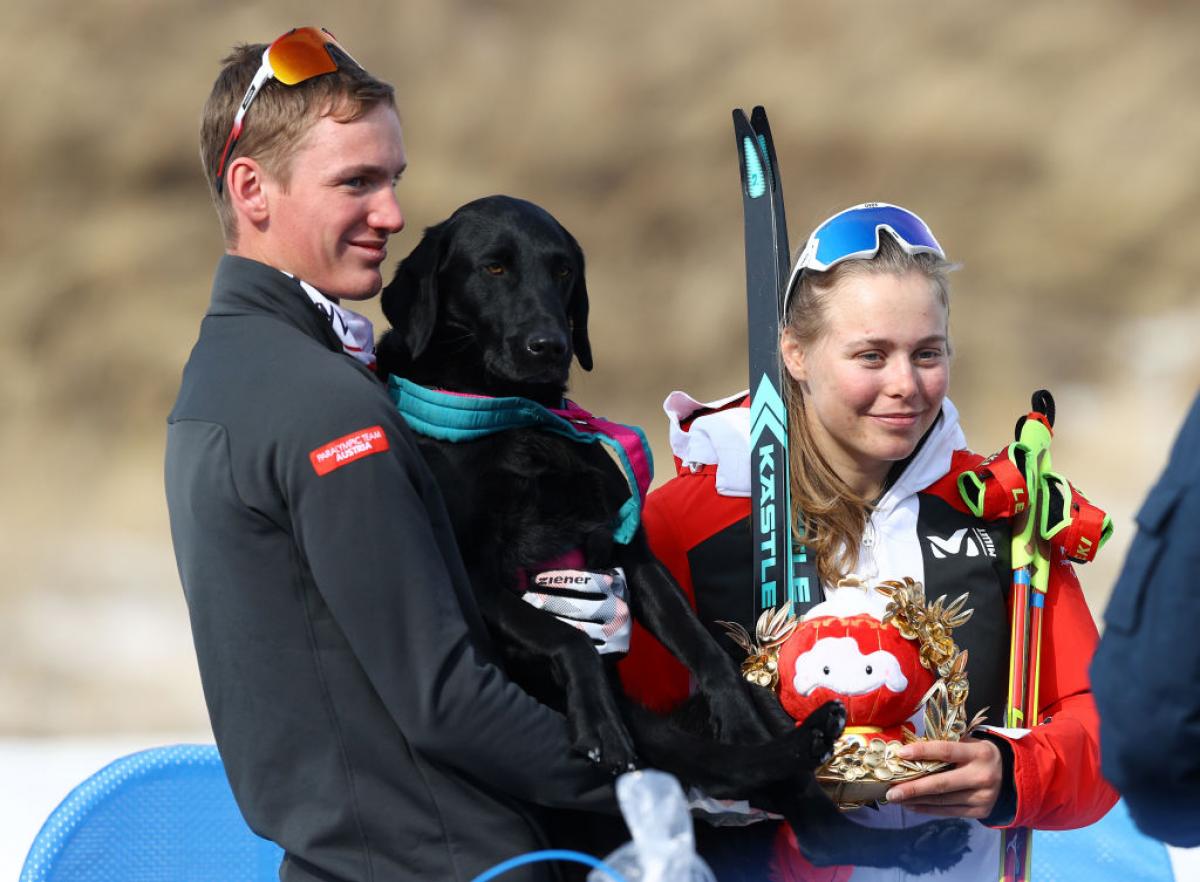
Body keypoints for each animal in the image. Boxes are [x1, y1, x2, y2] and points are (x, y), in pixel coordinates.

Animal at [374, 194, 964, 878]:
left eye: (561, 271)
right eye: (493, 268)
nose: (548, 345)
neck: (516, 419)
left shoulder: (630, 552)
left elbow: (703, 650)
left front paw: (735, 709)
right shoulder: (473, 575)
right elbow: (564, 636)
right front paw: (597, 715)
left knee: (798, 810)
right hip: (621, 725)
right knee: (711, 767)